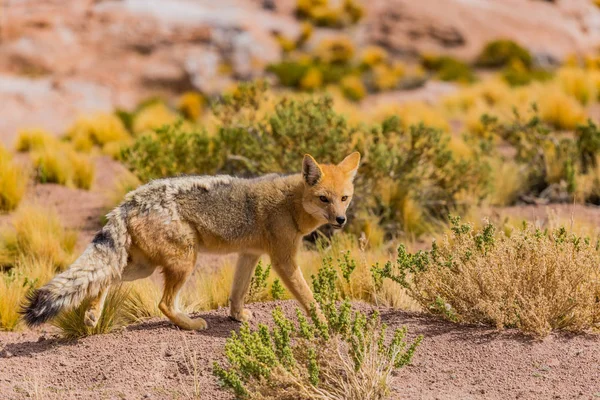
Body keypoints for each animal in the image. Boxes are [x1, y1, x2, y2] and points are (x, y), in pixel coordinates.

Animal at [22, 152, 360, 330]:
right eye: (324, 199)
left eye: (344, 199)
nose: (341, 220)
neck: (290, 203)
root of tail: (130, 199)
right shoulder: (283, 261)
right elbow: (308, 296)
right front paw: (326, 322)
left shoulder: (249, 255)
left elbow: (237, 293)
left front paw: (237, 316)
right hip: (185, 261)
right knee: (163, 303)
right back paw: (191, 324)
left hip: (142, 267)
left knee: (105, 278)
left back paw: (93, 313)